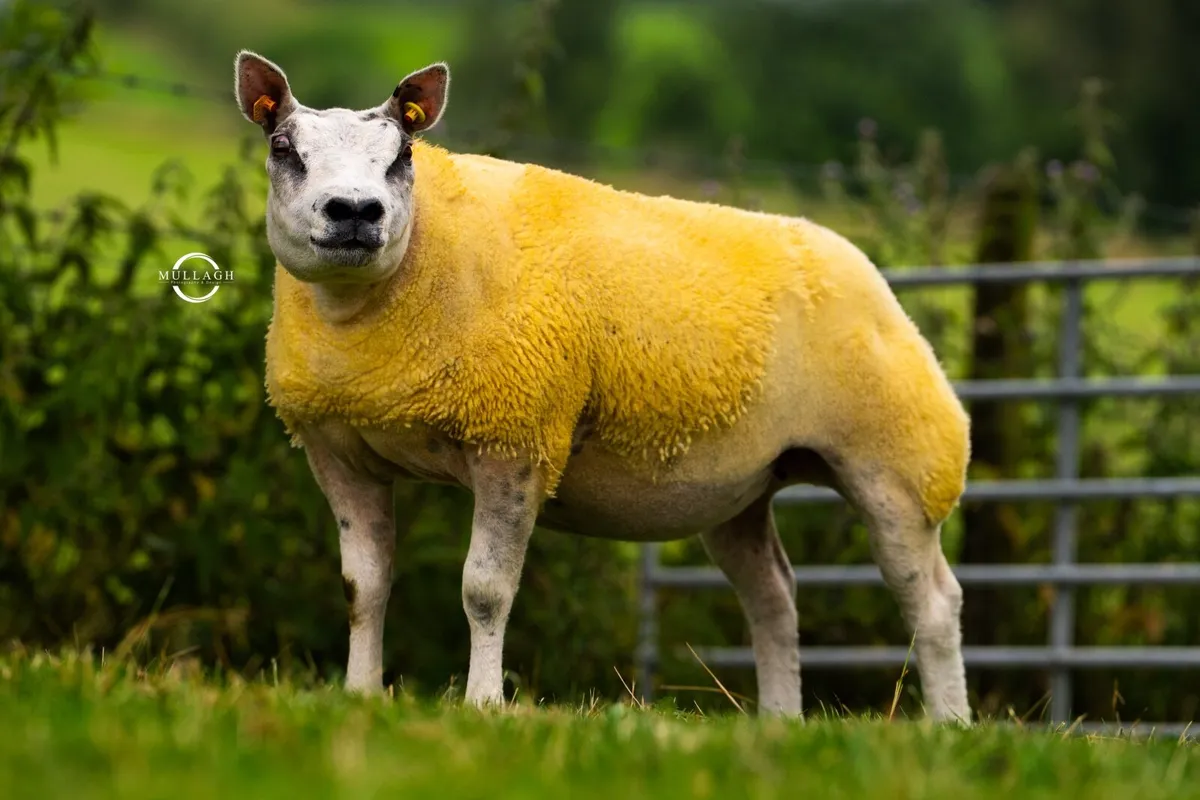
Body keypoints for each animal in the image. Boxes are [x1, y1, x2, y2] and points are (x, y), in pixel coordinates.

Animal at [233, 50, 972, 722]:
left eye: (402, 155)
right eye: (283, 147)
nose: (355, 211)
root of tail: (856, 262)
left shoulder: (516, 440)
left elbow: (485, 590)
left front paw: (483, 705)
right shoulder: (339, 453)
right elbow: (363, 586)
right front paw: (359, 696)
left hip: (897, 464)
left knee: (933, 602)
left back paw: (950, 724)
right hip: (742, 487)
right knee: (774, 597)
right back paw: (780, 721)